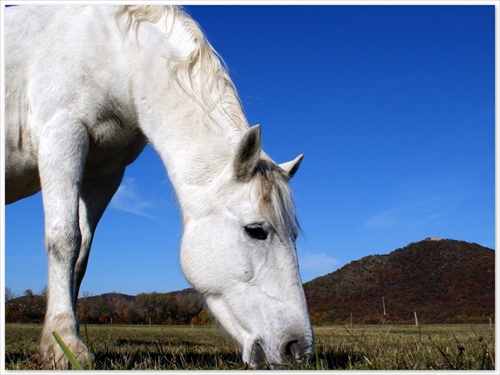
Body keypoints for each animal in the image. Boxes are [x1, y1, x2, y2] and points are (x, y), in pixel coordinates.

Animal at [4, 4, 312, 372]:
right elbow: (64, 240)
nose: (299, 349)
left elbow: (81, 255)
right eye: (255, 230)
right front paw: (64, 344)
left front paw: (61, 337)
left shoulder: (104, 174)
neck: (113, 49)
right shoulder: (62, 134)